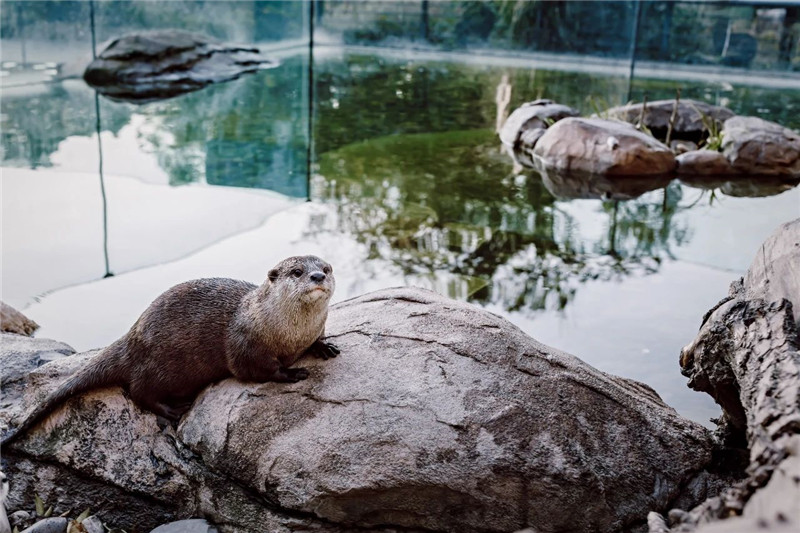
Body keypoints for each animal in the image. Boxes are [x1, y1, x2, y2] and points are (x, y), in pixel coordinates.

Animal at [0, 256, 338, 446]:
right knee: (139, 393)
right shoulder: (245, 344)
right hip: (159, 367)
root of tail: (132, 339)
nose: (318, 277)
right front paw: (292, 372)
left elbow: (317, 339)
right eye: (297, 271)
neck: (289, 333)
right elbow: (260, 370)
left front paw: (324, 345)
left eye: (326, 267)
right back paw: (174, 409)